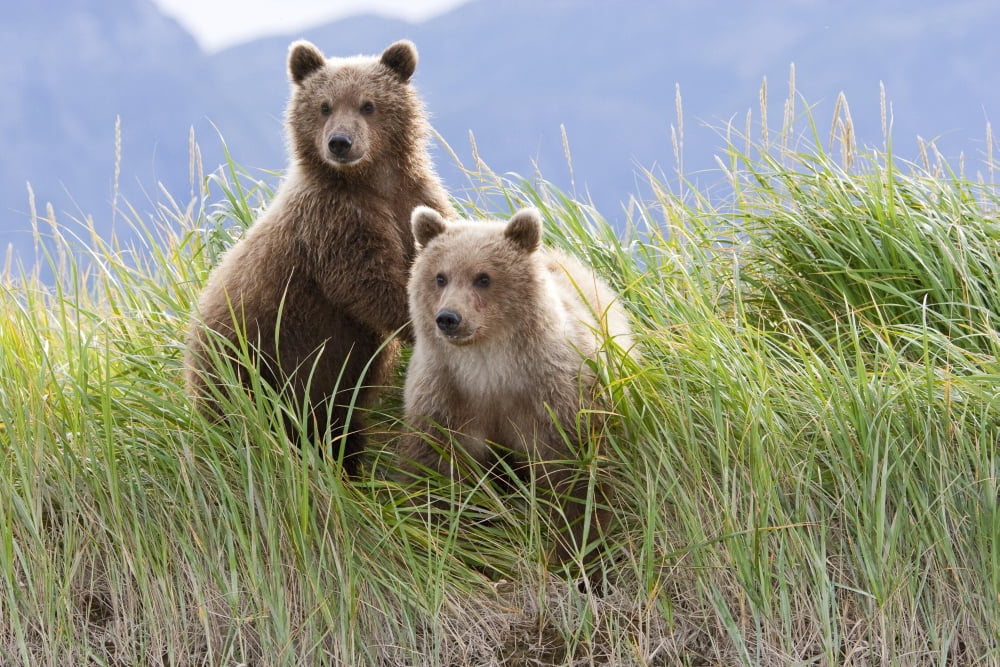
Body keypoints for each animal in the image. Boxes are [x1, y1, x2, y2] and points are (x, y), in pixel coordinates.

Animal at [184, 40, 451, 476]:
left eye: (368, 104)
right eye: (325, 106)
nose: (340, 142)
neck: (373, 182)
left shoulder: (415, 199)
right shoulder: (332, 223)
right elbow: (369, 282)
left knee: (340, 423)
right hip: (250, 364)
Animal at [394, 206, 637, 566]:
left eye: (483, 277)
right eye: (440, 277)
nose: (449, 318)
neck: (490, 369)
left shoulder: (554, 395)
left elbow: (576, 475)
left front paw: (574, 552)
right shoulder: (445, 396)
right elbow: (434, 472)